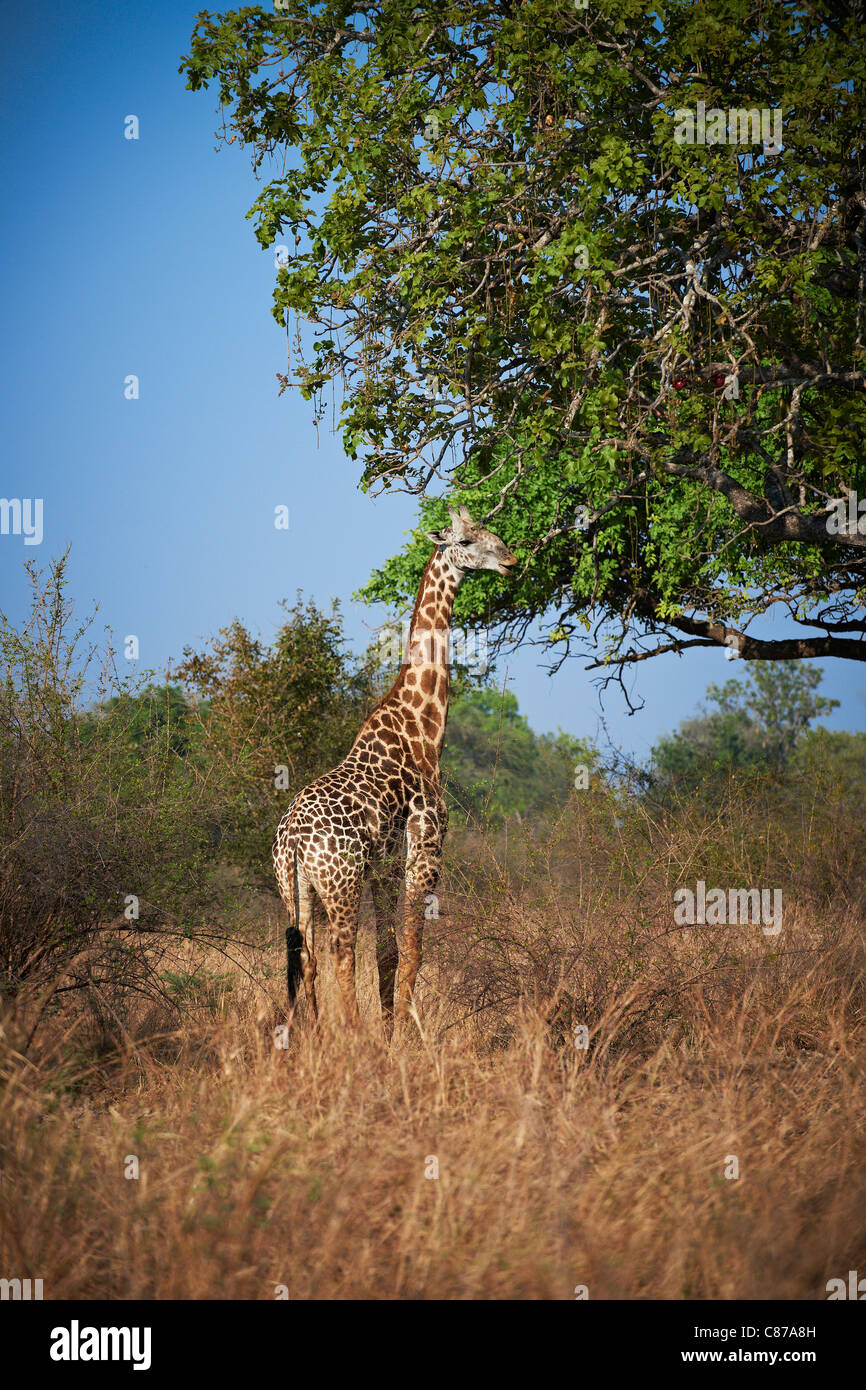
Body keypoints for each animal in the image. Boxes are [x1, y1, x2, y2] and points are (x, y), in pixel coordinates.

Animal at [272, 508, 514, 1034]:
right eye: (467, 540)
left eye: (492, 531)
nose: (510, 560)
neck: (423, 724)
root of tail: (294, 840)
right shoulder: (427, 838)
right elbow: (414, 951)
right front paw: (404, 1035)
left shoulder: (382, 859)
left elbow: (388, 953)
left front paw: (390, 1031)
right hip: (340, 883)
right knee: (341, 955)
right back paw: (350, 1035)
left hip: (294, 888)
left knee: (307, 959)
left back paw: (316, 1037)